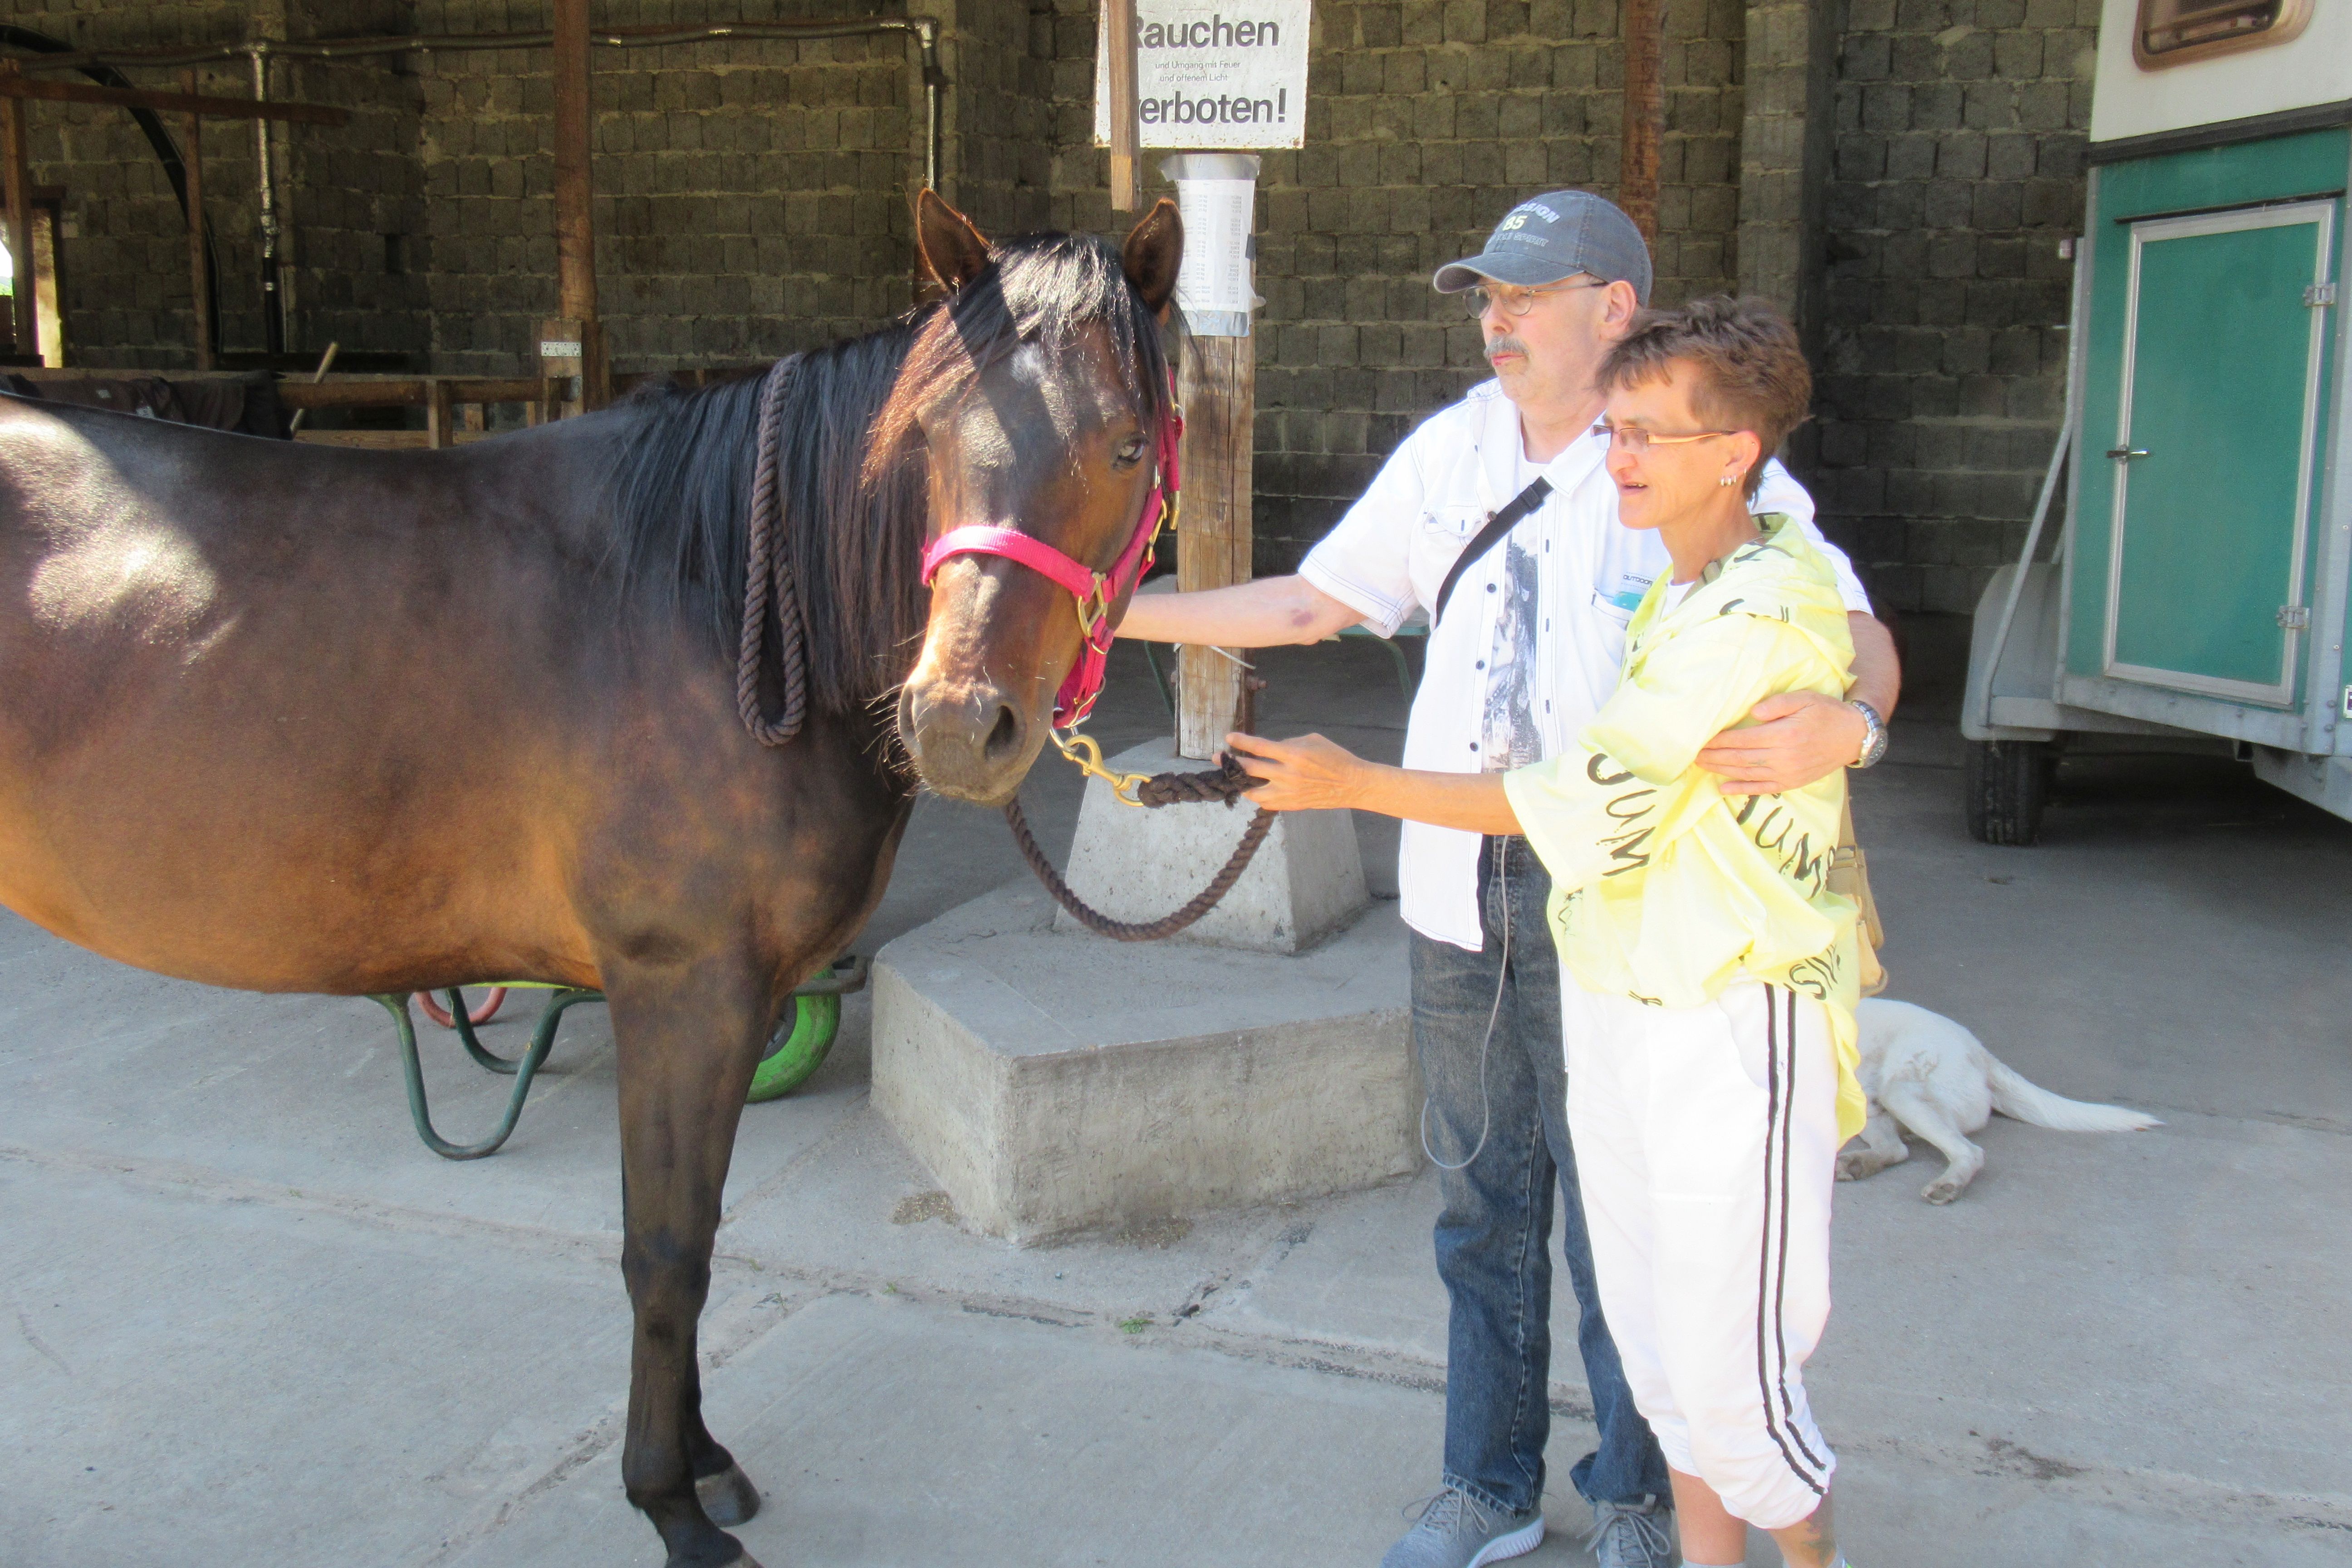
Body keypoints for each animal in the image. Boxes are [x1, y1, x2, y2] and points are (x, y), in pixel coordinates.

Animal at [0, 196, 1185, 1568]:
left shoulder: (715, 1000)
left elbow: (695, 1225)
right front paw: (670, 1503)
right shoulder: (681, 991)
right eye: (927, 436)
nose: (956, 724)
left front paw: (704, 1458)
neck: (710, 598)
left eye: (1123, 445)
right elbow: (666, 1247)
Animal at [1844, 1001, 2154, 1213]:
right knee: (1897, 1149)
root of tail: (1979, 1050)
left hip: (1900, 1092)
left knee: (1970, 1152)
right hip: (1872, 1109)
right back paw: (1856, 1164)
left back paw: (1948, 1185)